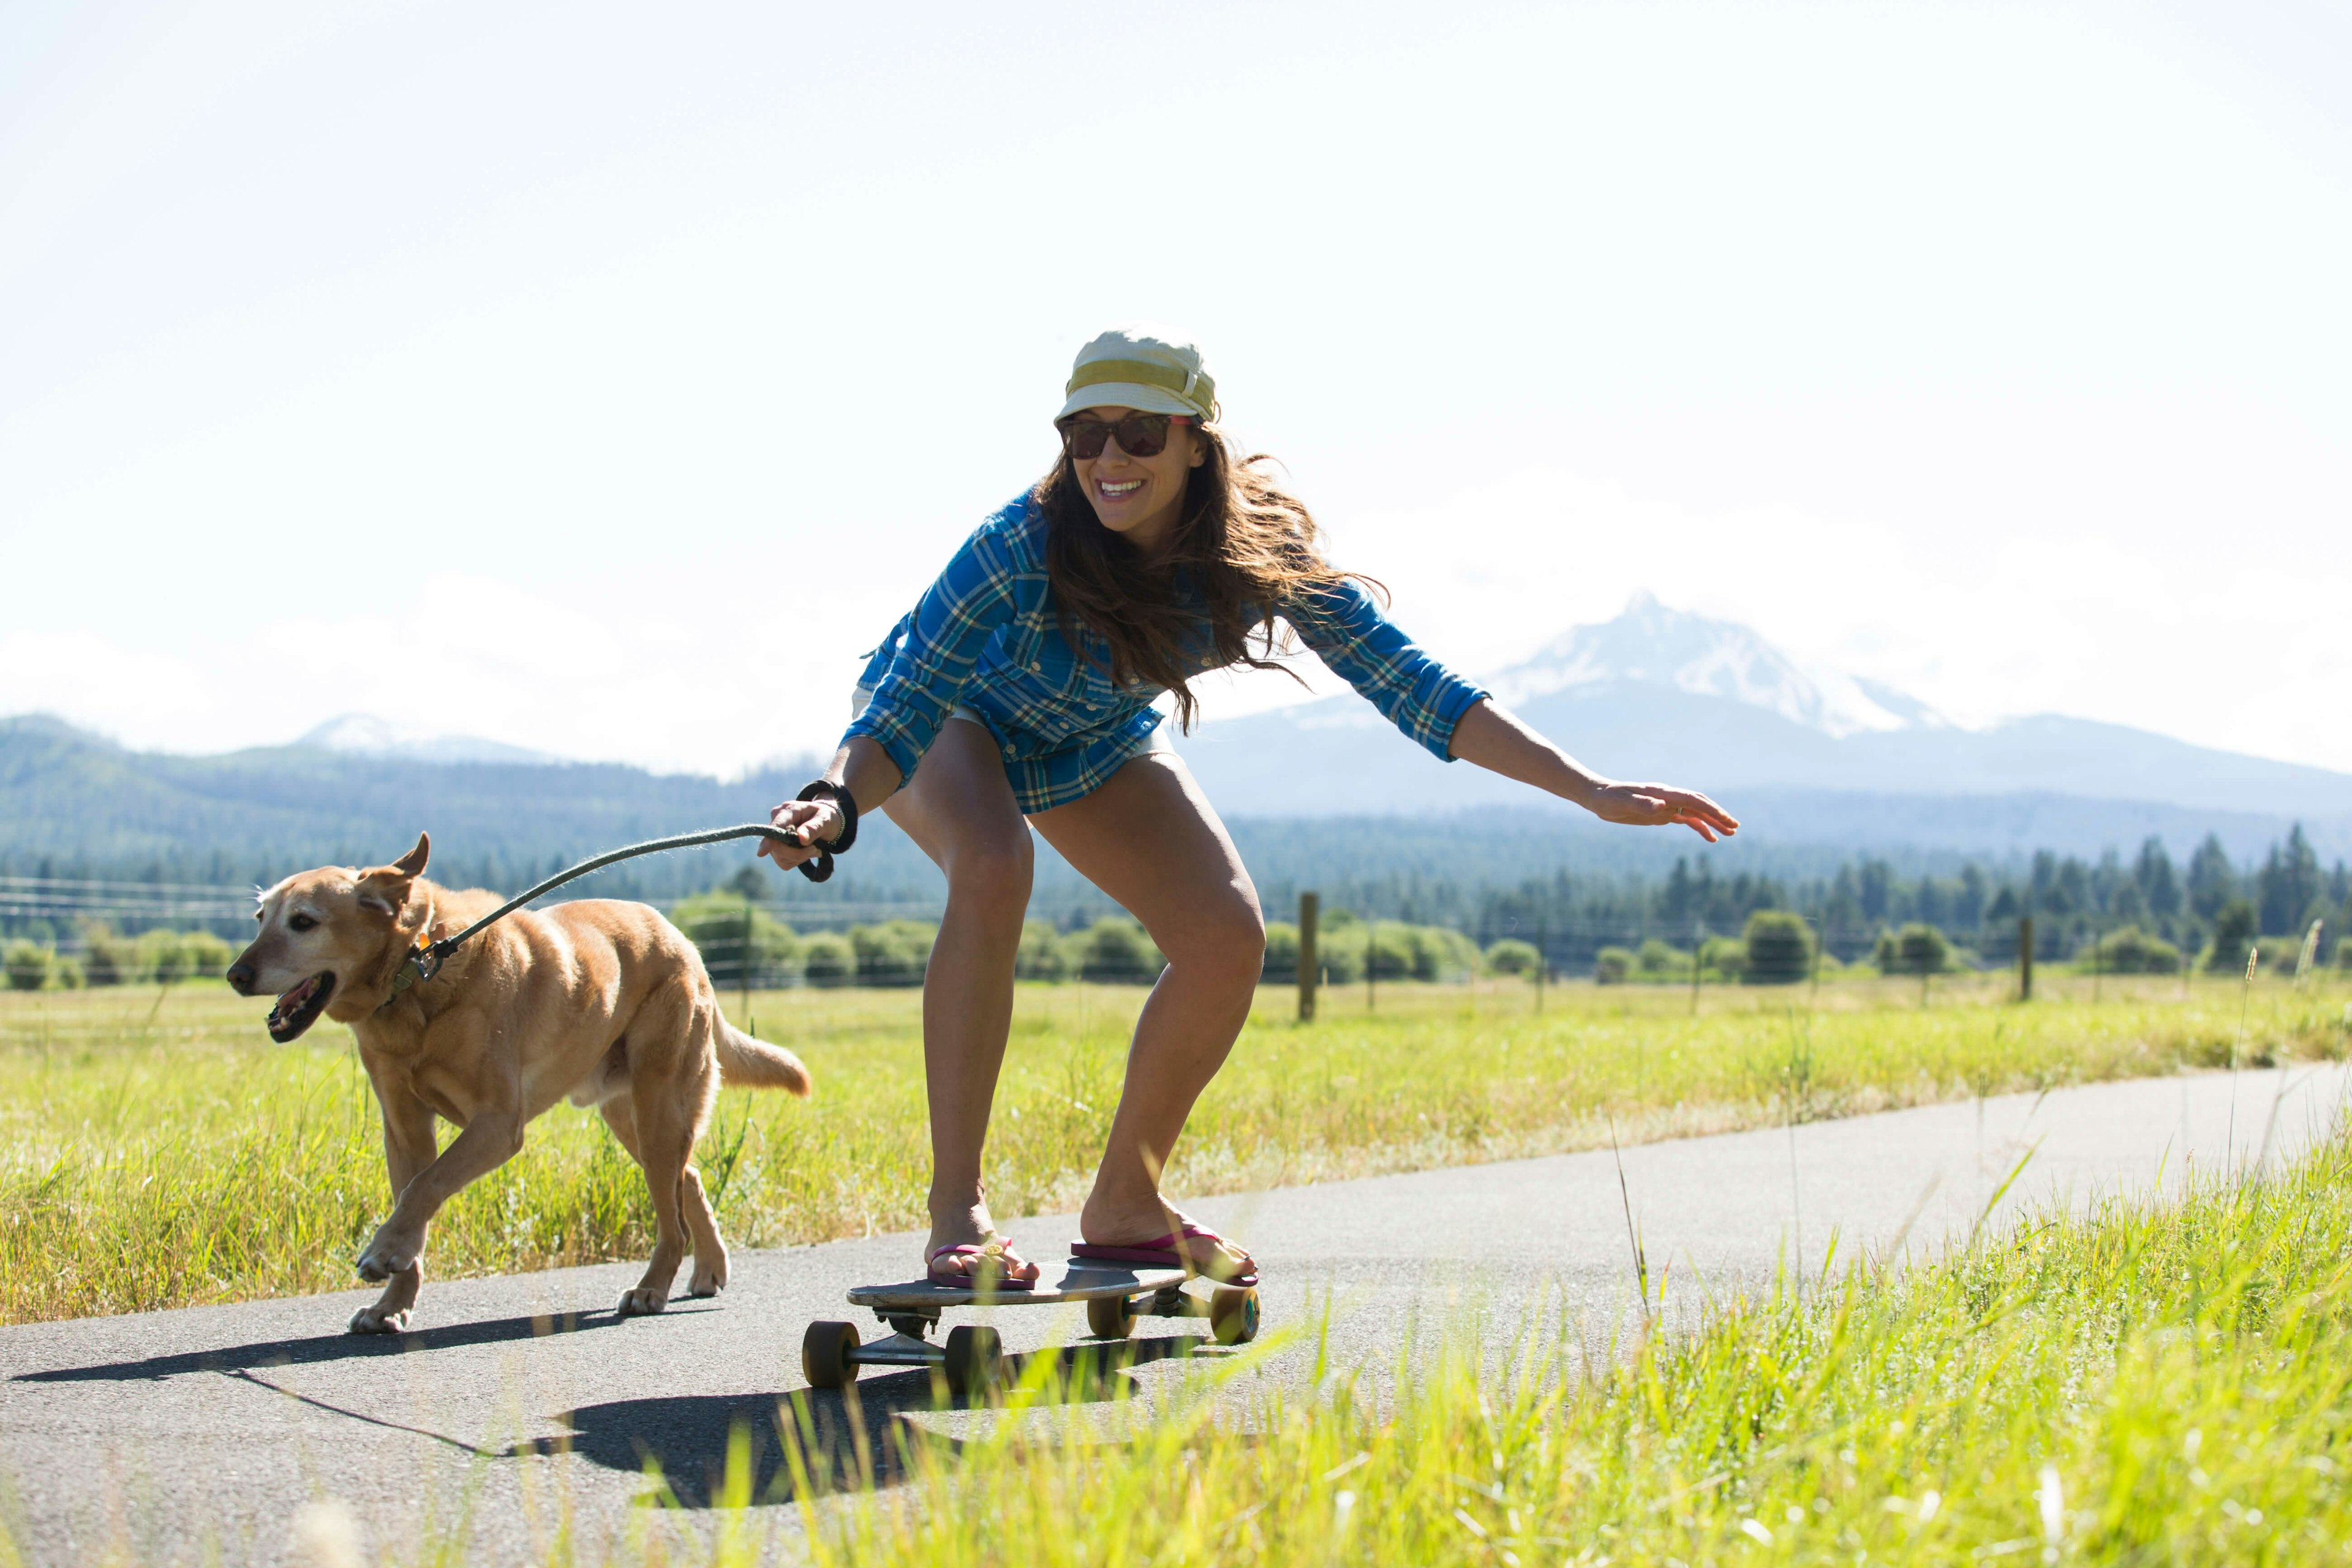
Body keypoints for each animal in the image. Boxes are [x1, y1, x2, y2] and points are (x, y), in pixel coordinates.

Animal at [223, 832, 809, 1335]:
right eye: (260, 918)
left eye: (303, 921)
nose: (235, 976)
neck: (419, 968)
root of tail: (685, 943)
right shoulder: (404, 1129)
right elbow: (414, 1195)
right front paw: (392, 1303)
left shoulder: (498, 1125)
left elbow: (426, 1186)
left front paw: (386, 1252)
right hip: (633, 1118)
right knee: (689, 1180)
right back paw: (707, 1268)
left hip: (657, 1104)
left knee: (674, 1217)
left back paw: (651, 1289)